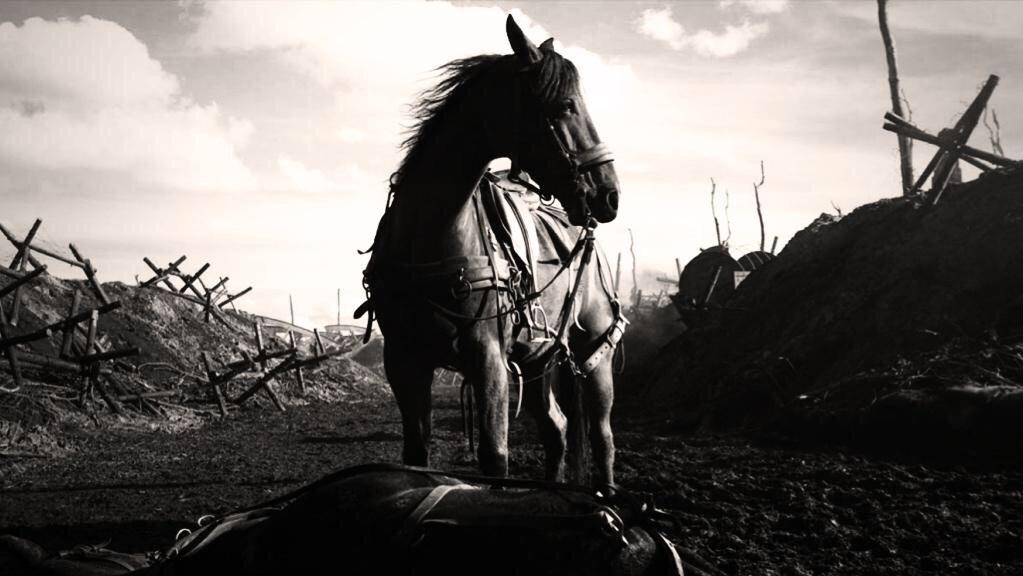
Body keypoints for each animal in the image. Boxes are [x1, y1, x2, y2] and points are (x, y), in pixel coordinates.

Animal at [358, 15, 625, 490]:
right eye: (565, 106)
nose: (608, 195)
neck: (429, 236)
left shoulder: (489, 359)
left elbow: (494, 457)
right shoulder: (404, 360)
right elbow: (416, 453)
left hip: (595, 355)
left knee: (601, 437)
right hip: (538, 360)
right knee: (557, 428)